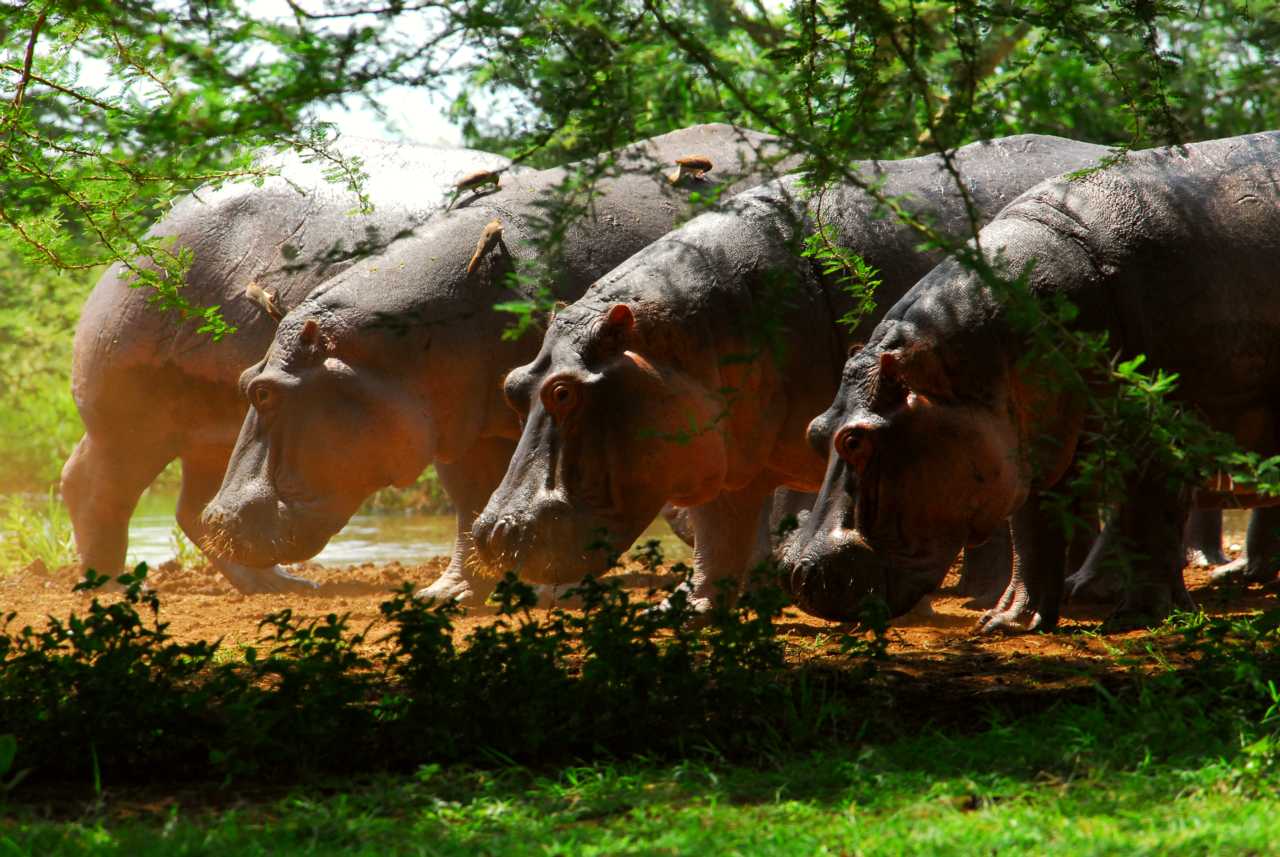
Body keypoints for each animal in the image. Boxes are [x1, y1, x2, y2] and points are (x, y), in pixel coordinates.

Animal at [62, 138, 511, 593]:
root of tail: (147, 236)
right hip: (130, 421)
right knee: (95, 487)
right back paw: (115, 586)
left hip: (209, 430)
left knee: (193, 506)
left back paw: (280, 584)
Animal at [198, 124, 799, 603]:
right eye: (245, 379)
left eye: (265, 392)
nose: (213, 518)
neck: (389, 348)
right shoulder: (460, 428)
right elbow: (470, 505)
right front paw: (450, 595)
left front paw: (551, 589)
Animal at [471, 134, 1110, 613]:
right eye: (512, 386)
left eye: (563, 392)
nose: (489, 534)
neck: (673, 342)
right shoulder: (727, 442)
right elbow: (719, 526)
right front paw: (693, 608)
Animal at [781, 131, 1280, 630]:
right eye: (814, 432)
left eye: (855, 441)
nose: (797, 574)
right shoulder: (1030, 433)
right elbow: (1033, 528)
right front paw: (1008, 621)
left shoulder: (1166, 425)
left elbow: (1150, 513)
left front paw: (1139, 618)